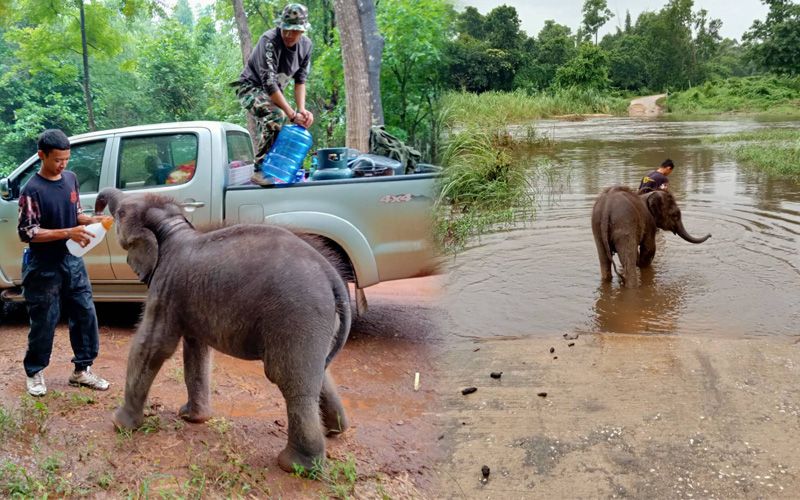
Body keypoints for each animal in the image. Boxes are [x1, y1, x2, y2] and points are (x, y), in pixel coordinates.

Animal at [95, 188, 352, 472]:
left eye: (121, 213)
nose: (96, 209)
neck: (173, 227)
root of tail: (332, 277)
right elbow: (196, 349)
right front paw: (192, 418)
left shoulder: (166, 286)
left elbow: (153, 345)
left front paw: (119, 424)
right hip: (317, 323)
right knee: (319, 374)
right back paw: (335, 432)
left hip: (297, 315)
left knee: (290, 380)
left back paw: (295, 466)